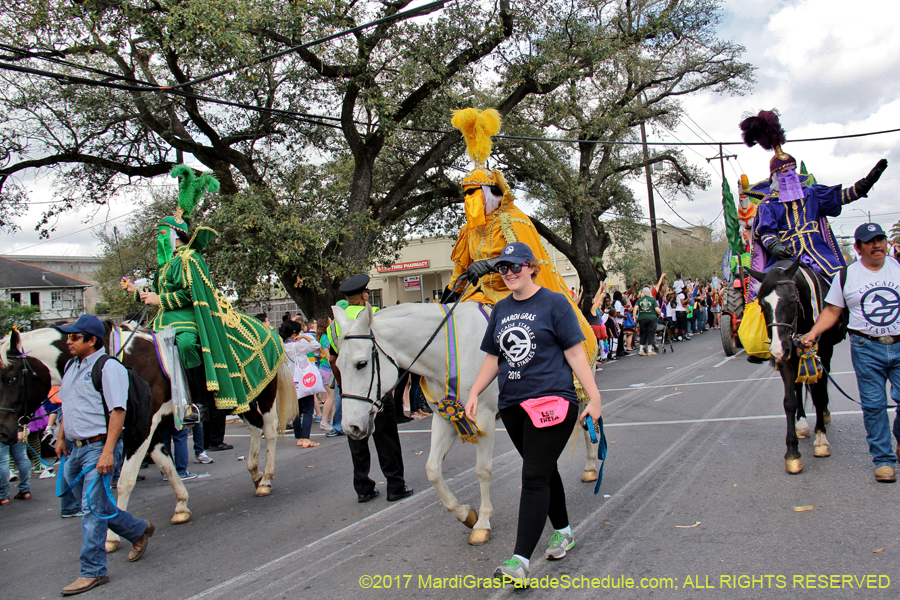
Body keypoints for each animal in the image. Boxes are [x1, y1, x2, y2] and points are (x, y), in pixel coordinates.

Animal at [0, 324, 296, 552]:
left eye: (10, 377)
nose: (4, 432)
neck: (117, 360)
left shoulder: (141, 427)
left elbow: (125, 481)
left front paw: (111, 537)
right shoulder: (145, 430)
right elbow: (165, 464)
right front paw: (181, 505)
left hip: (264, 392)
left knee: (269, 429)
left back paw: (266, 480)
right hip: (237, 401)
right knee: (255, 428)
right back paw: (255, 472)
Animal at [332, 302, 596, 548]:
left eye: (361, 364)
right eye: (337, 366)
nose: (351, 427)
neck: (446, 353)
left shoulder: (484, 418)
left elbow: (483, 470)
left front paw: (482, 523)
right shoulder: (444, 419)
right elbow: (432, 470)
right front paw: (465, 514)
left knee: (589, 425)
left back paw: (591, 467)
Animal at [748, 258, 848, 474]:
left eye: (793, 299)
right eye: (761, 303)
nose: (778, 349)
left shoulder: (820, 352)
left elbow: (819, 394)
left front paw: (821, 439)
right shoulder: (786, 360)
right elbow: (790, 401)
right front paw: (792, 453)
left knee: (821, 388)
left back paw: (824, 415)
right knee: (798, 386)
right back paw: (801, 424)